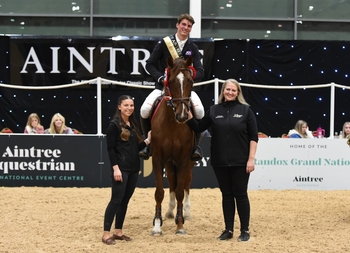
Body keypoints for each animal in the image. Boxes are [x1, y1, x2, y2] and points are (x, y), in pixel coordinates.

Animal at [151, 56, 197, 234]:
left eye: (191, 81)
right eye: (170, 81)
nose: (183, 115)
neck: (172, 122)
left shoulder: (184, 159)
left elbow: (180, 192)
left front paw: (180, 224)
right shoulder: (158, 158)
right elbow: (159, 192)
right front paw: (157, 225)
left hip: (189, 162)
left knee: (186, 184)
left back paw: (186, 212)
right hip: (170, 162)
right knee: (171, 181)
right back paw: (170, 212)